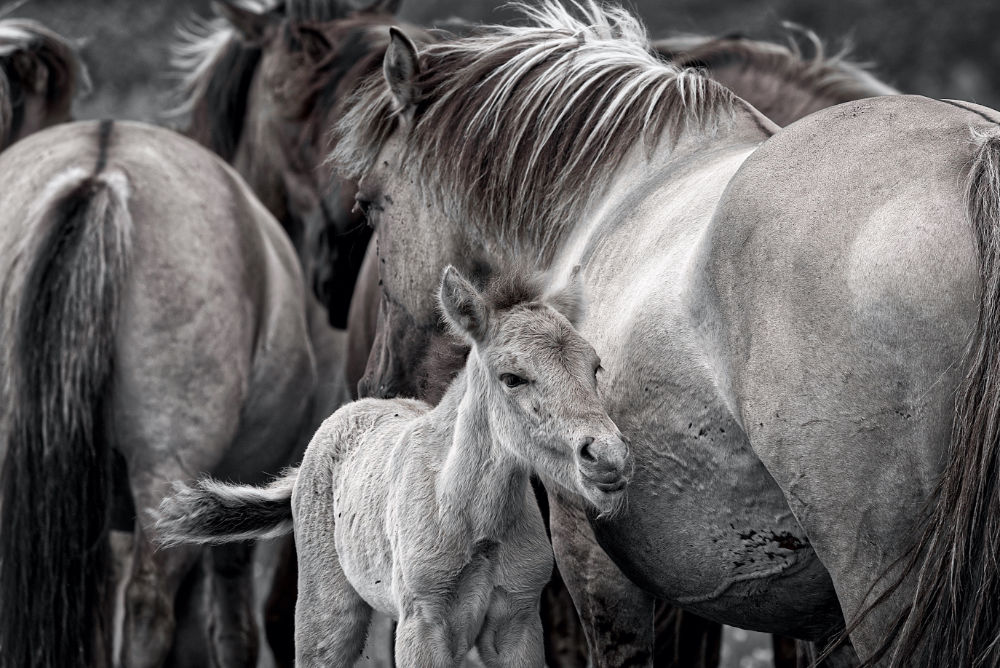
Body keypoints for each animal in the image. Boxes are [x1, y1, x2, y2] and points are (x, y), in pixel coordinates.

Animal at [158, 266, 632, 668]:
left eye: (594, 367)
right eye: (512, 378)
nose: (609, 457)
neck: (470, 514)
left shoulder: (517, 623)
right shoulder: (422, 625)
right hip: (327, 614)